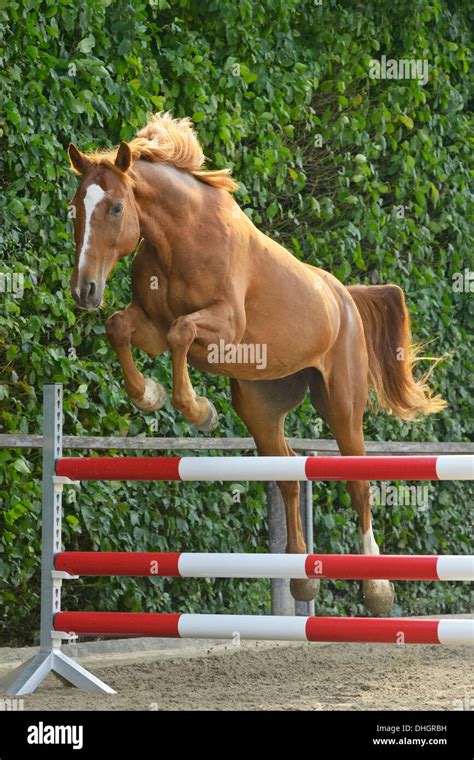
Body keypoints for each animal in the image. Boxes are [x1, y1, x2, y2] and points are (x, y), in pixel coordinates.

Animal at [66, 111, 444, 612]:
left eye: (114, 208)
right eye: (75, 207)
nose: (84, 290)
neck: (180, 237)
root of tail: (344, 295)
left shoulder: (224, 329)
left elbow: (181, 332)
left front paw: (198, 410)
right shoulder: (149, 324)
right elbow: (121, 328)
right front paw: (150, 395)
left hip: (342, 405)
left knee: (358, 485)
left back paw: (377, 589)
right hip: (261, 406)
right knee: (288, 475)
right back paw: (302, 578)